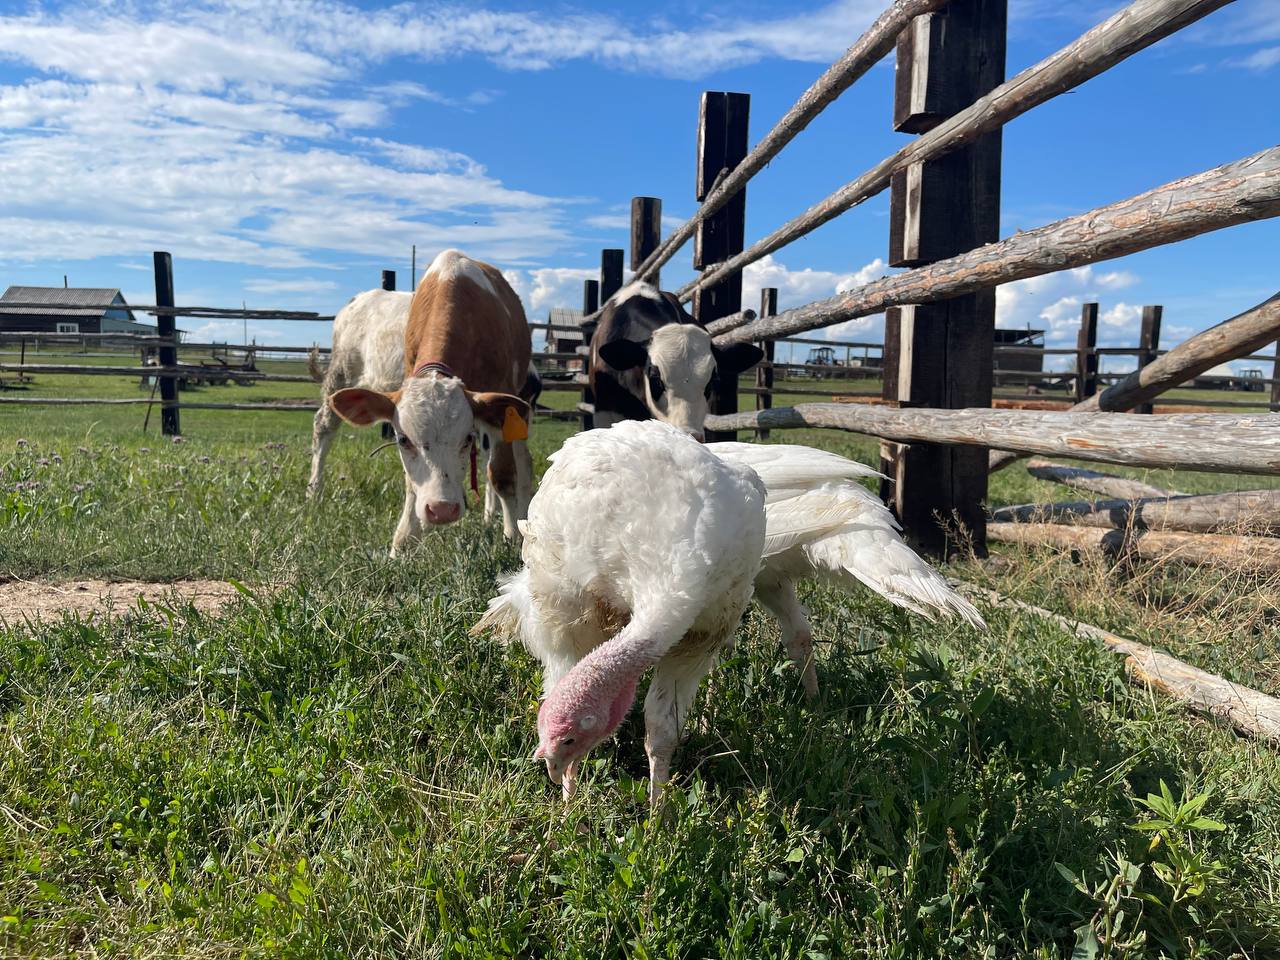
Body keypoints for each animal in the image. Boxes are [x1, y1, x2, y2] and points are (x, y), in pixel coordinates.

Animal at [325, 250, 536, 555]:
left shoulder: (501, 401)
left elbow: (503, 474)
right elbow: (411, 483)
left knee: (522, 462)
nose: (442, 510)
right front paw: (403, 542)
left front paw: (512, 537)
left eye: (466, 438)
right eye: (403, 440)